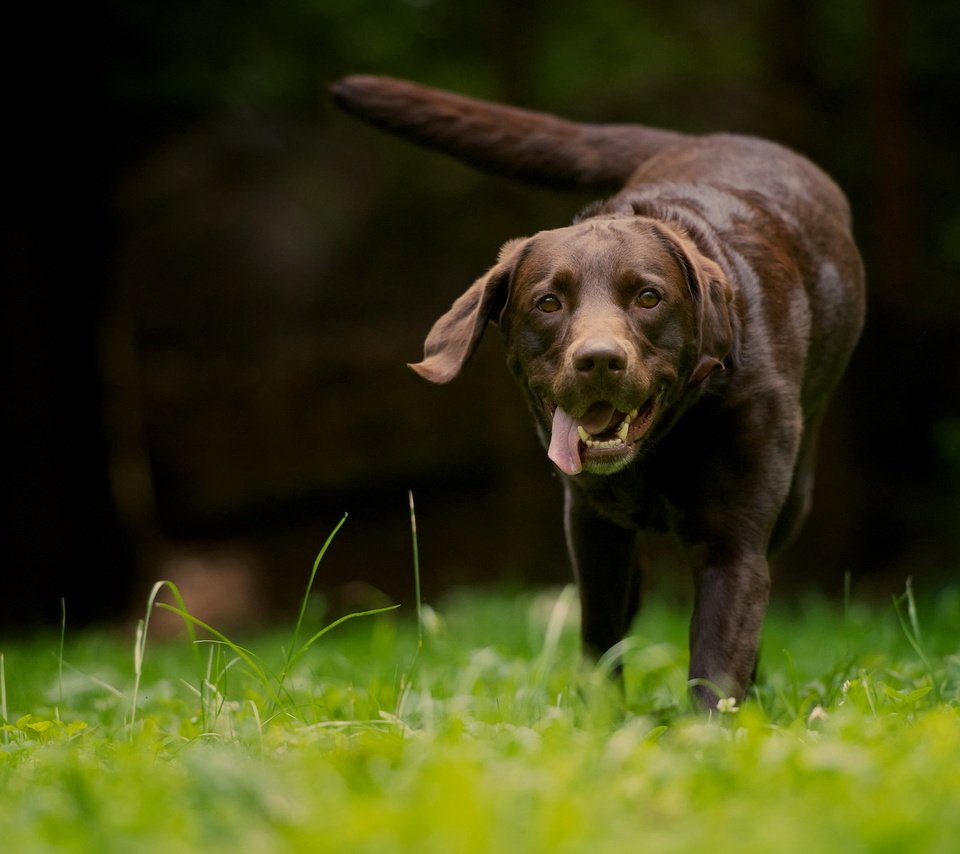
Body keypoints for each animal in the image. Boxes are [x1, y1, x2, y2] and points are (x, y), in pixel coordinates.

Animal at [330, 77, 864, 708]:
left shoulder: (733, 543)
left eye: (649, 297)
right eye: (548, 302)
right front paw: (600, 717)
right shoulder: (592, 528)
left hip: (795, 496)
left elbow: (717, 658)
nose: (600, 360)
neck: (662, 446)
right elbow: (601, 639)